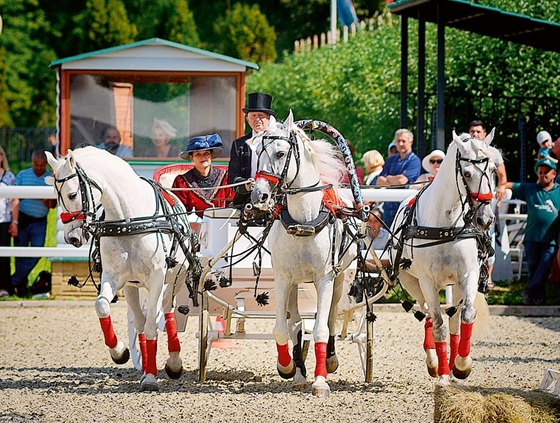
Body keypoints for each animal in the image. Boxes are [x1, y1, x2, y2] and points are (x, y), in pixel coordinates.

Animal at [47, 147, 201, 392]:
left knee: (166, 310)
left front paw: (151, 378)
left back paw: (173, 362)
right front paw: (119, 352)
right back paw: (146, 365)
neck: (129, 219)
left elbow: (152, 324)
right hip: (132, 287)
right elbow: (102, 307)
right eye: (55, 194)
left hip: (174, 280)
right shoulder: (114, 277)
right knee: (139, 321)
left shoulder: (157, 279)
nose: (72, 237)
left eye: (71, 195)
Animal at [247, 112, 360, 398]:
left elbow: (320, 329)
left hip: (338, 281)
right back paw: (298, 374)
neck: (303, 221)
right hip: (296, 284)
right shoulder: (283, 279)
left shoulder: (325, 278)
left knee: (330, 318)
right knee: (296, 324)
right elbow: (281, 330)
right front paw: (286, 366)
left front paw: (320, 381)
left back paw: (329, 360)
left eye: (280, 153)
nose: (259, 195)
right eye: (257, 152)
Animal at [390, 131, 494, 386]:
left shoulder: (468, 275)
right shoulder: (427, 281)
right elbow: (437, 324)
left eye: (493, 169)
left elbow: (467, 315)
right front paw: (444, 374)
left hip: (456, 284)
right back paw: (434, 362)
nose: (486, 219)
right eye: (467, 173)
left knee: (455, 319)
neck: (446, 223)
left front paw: (462, 366)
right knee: (428, 315)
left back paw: (455, 361)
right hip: (413, 283)